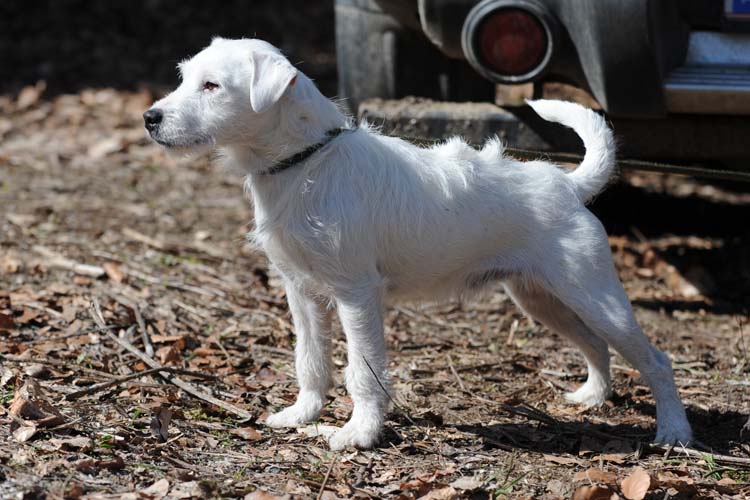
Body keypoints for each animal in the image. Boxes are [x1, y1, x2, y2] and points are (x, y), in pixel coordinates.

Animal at [144, 38, 696, 450]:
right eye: (184, 77)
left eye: (212, 86)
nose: (150, 118)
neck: (307, 162)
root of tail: (566, 184)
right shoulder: (301, 293)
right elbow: (311, 361)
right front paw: (302, 415)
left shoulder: (356, 295)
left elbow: (362, 373)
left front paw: (358, 434)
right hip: (541, 298)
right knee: (595, 345)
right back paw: (592, 398)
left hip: (595, 295)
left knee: (655, 360)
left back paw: (674, 432)